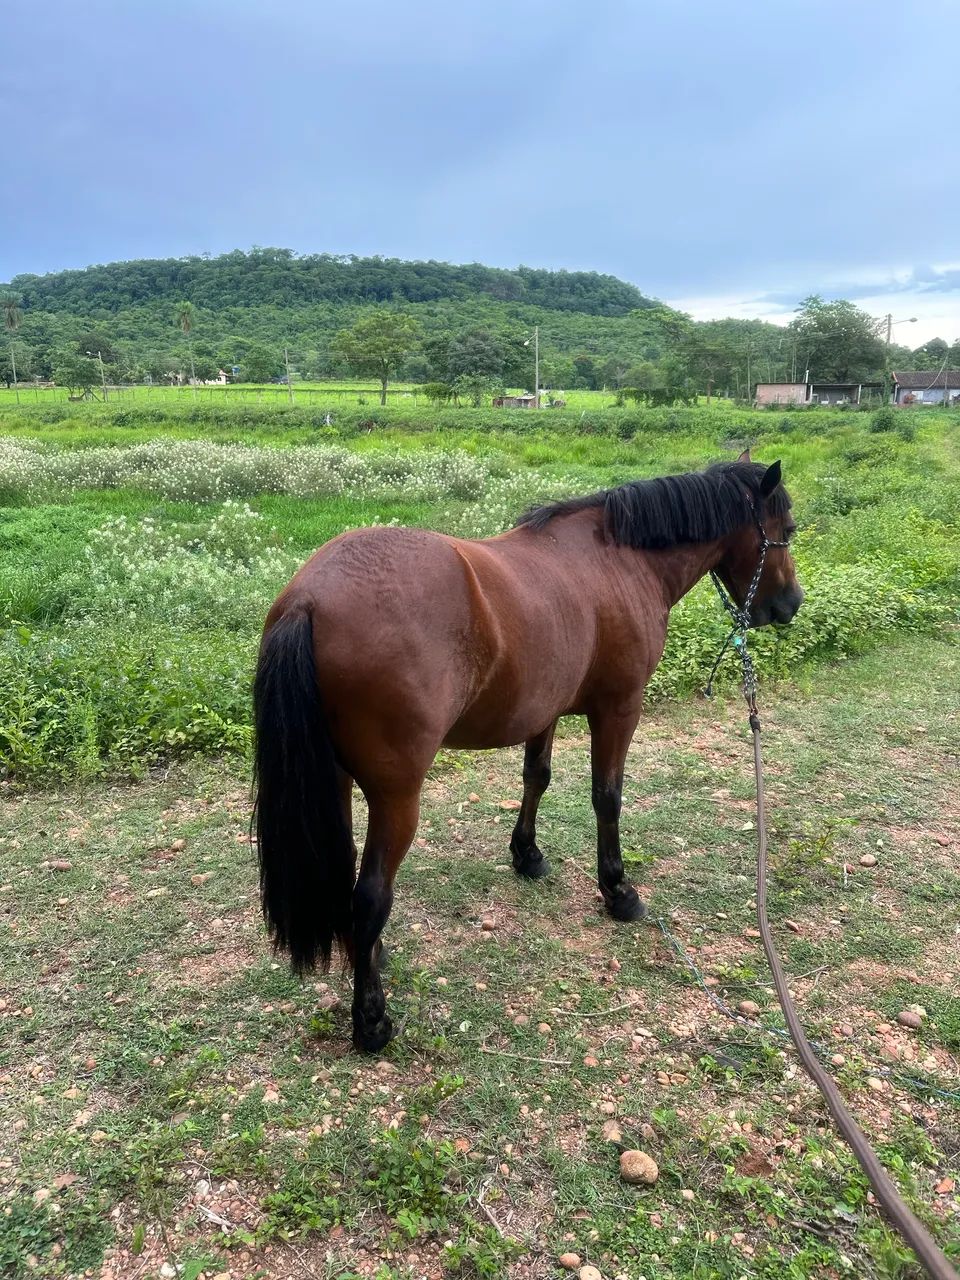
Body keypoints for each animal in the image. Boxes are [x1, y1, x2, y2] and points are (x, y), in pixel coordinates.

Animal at [252, 452, 802, 1051]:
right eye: (788, 528)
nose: (789, 605)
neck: (620, 560)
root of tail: (309, 598)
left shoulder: (545, 711)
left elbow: (536, 777)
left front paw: (527, 855)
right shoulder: (619, 709)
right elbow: (607, 797)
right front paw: (617, 890)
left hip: (340, 782)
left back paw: (370, 955)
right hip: (396, 797)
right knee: (371, 893)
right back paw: (371, 1020)